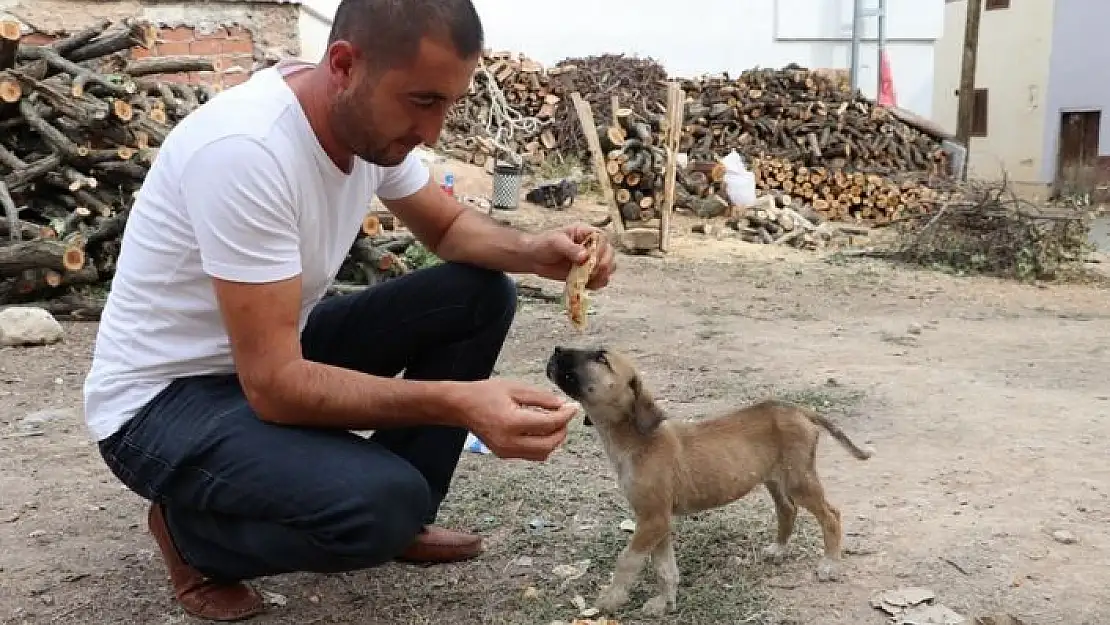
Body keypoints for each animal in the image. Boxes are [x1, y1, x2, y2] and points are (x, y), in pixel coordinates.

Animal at [546, 346, 874, 617]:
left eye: (601, 358)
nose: (557, 349)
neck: (635, 440)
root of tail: (798, 409)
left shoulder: (652, 520)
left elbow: (627, 560)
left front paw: (611, 599)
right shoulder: (657, 521)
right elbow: (665, 568)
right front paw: (665, 602)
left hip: (799, 479)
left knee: (831, 515)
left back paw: (830, 563)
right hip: (774, 478)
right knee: (787, 510)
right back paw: (779, 549)